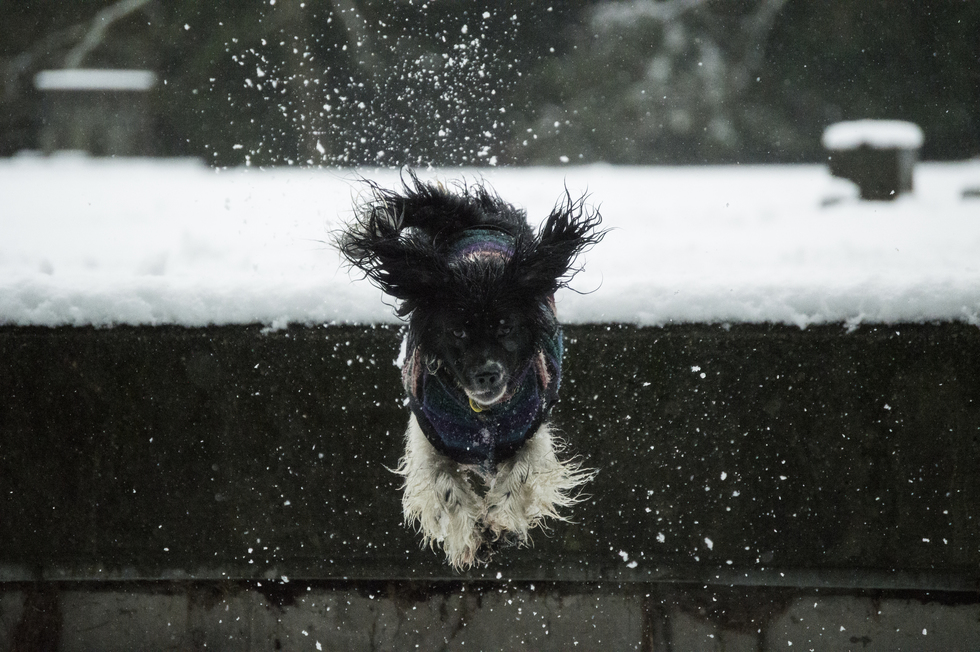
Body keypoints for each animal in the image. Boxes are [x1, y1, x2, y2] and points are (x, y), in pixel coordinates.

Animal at [336, 172, 603, 569]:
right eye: (458, 332)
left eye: (506, 327)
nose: (487, 374)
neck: (482, 416)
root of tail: (471, 219)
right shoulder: (430, 440)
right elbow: (445, 488)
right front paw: (470, 538)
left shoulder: (531, 435)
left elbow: (519, 476)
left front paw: (502, 524)